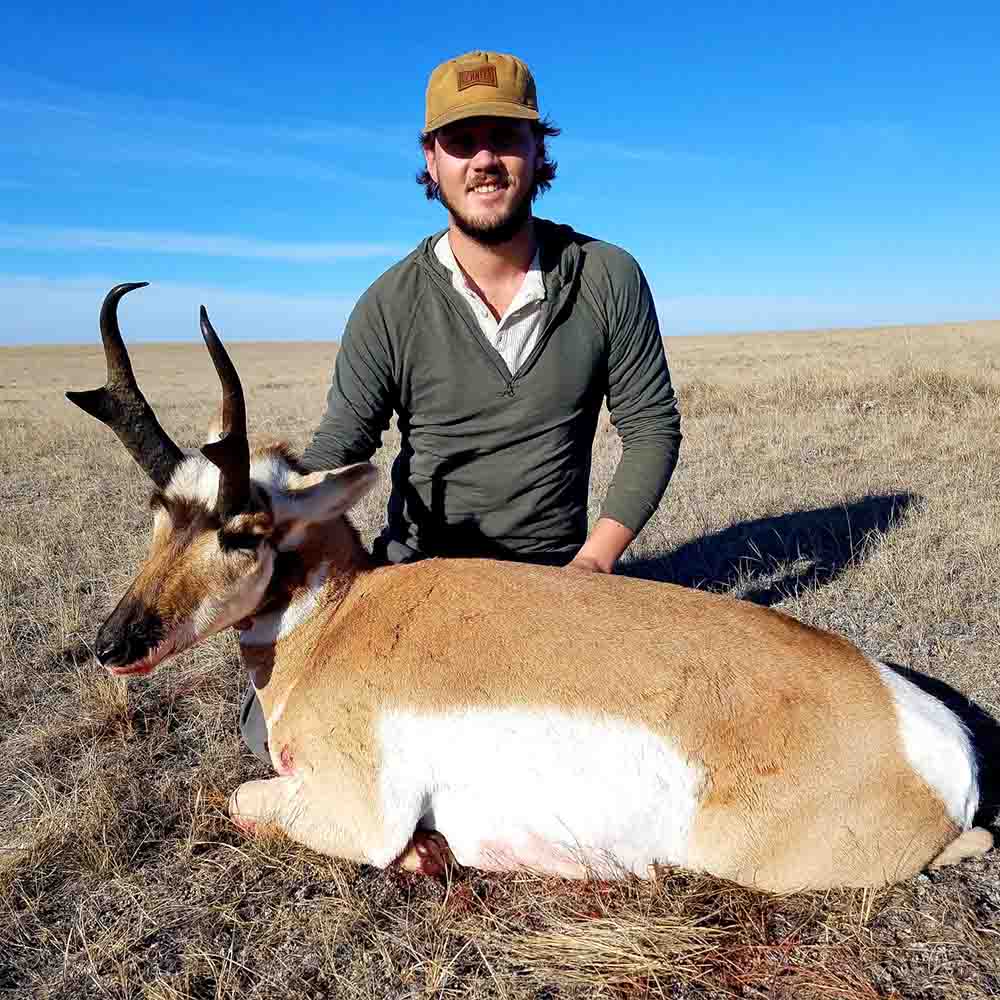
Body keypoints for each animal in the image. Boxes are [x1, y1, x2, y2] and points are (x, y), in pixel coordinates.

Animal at [68, 283, 993, 892]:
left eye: (245, 531)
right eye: (160, 511)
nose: (114, 645)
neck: (341, 621)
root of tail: (933, 740)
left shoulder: (352, 808)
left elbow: (242, 798)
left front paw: (428, 853)